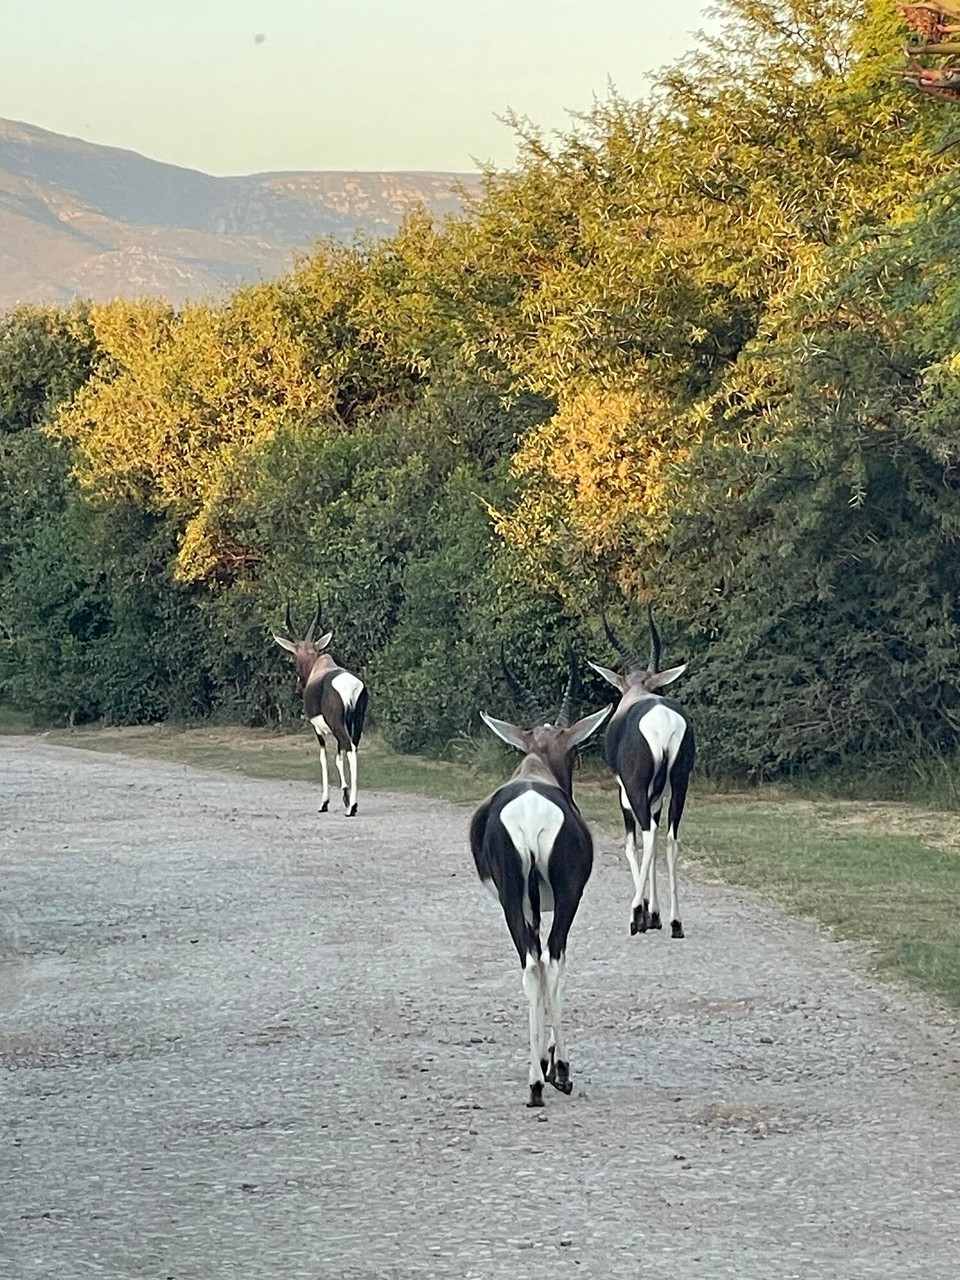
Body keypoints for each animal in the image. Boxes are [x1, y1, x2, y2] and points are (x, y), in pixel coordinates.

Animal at [277, 601, 371, 819]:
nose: (298, 687)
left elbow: (323, 758)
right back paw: (351, 805)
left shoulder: (318, 729)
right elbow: (338, 757)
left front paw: (324, 803)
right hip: (356, 723)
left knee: (350, 749)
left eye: (294, 658)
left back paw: (352, 808)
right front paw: (344, 796)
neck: (319, 667)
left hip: (337, 725)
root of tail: (348, 687)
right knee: (352, 748)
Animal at [471, 660, 611, 1111]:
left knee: (532, 964)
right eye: (574, 750)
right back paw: (555, 1075)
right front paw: (555, 1066)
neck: (536, 769)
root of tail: (531, 816)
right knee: (551, 959)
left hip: (513, 902)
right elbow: (556, 965)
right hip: (564, 899)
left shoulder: (527, 907)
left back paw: (534, 1084)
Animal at [591, 609, 696, 942]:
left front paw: (646, 915)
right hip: (680, 784)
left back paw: (635, 916)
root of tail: (662, 720)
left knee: (648, 835)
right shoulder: (658, 797)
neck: (638, 694)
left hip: (637, 789)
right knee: (671, 838)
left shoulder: (625, 792)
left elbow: (630, 844)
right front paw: (657, 915)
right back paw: (676, 923)